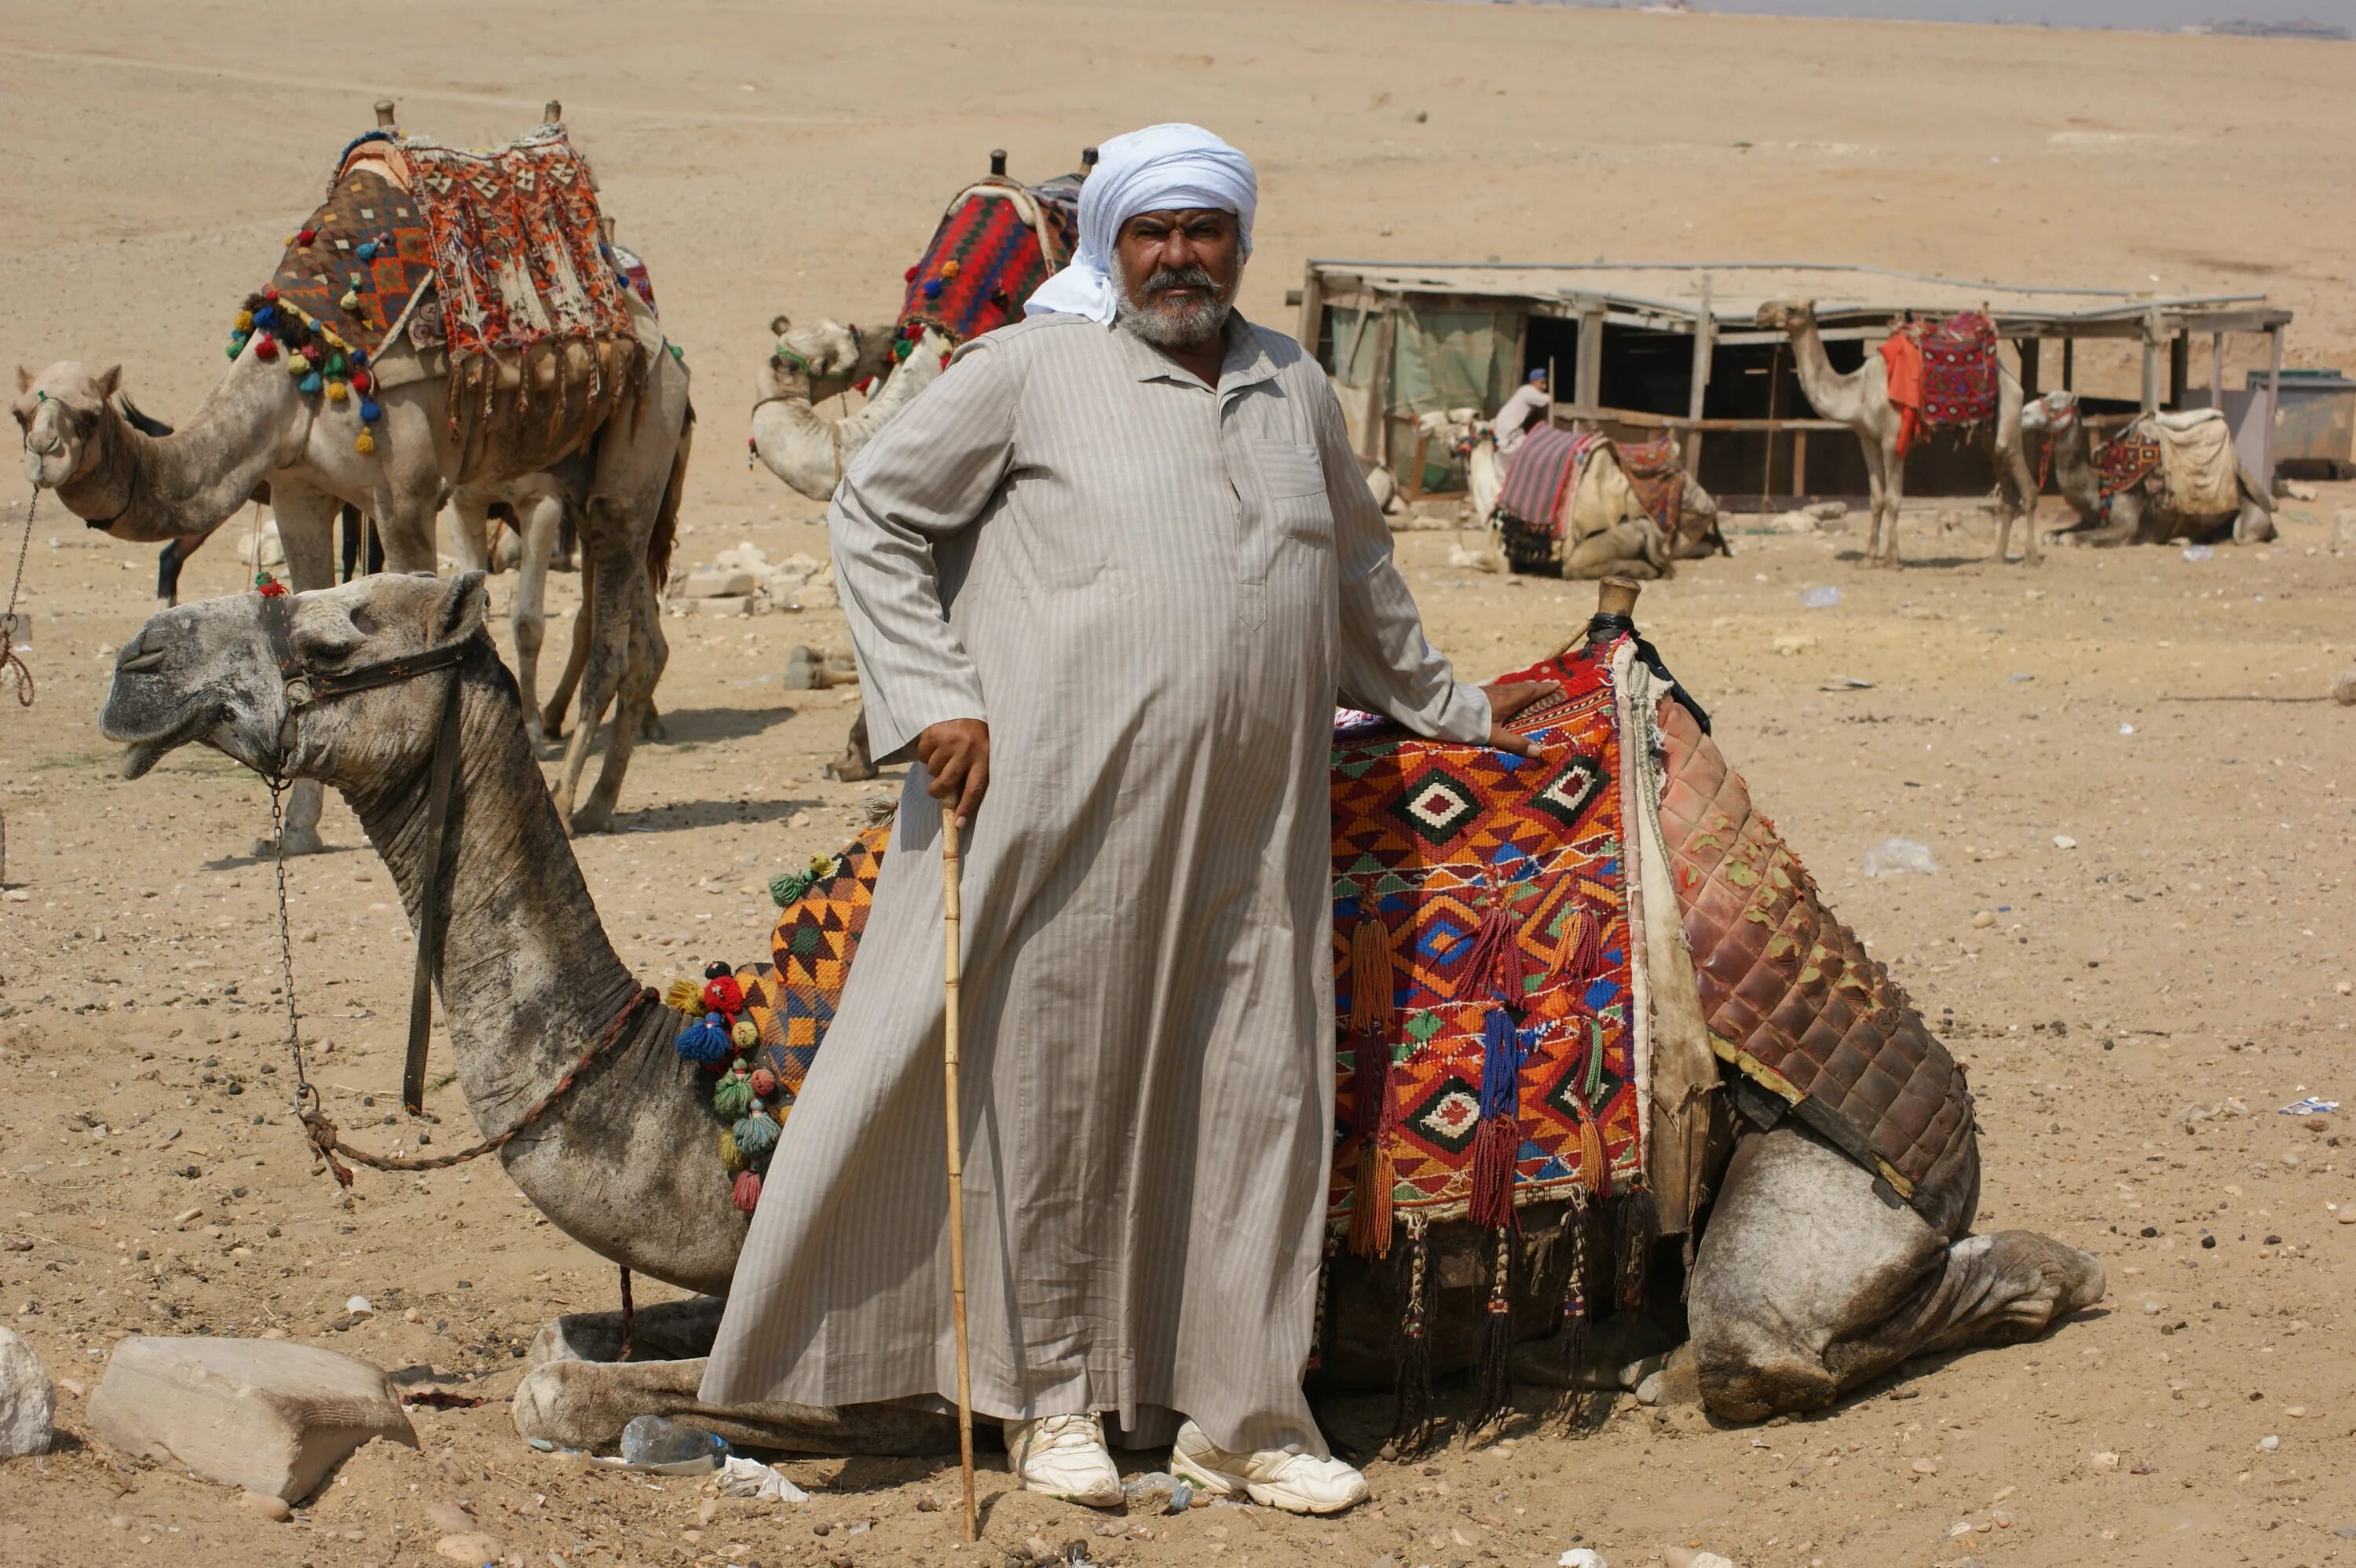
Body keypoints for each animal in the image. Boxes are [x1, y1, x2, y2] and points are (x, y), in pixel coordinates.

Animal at [101, 572, 2111, 1450]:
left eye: (338, 628)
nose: (139, 657)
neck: (730, 1072)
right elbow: (556, 1348)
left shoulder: (908, 1334)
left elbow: (592, 1394)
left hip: (1802, 1202)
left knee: (1791, 1334)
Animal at [1753, 298, 2045, 567]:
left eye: (1791, 307)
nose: (1761, 311)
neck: (1858, 391)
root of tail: (2012, 378)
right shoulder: (1867, 439)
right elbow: (1876, 499)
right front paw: (1868, 558)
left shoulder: (1893, 439)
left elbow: (1893, 499)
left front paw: (1892, 559)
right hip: (1988, 435)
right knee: (2006, 490)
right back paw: (1996, 557)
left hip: (2009, 414)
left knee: (2027, 486)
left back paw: (2031, 557)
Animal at [2017, 388, 2271, 546]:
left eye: (2055, 406)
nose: (2023, 412)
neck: (2100, 483)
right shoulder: (2090, 519)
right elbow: (2051, 535)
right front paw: (2054, 535)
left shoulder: (2126, 526)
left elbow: (2070, 539)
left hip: (2252, 516)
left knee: (2242, 535)